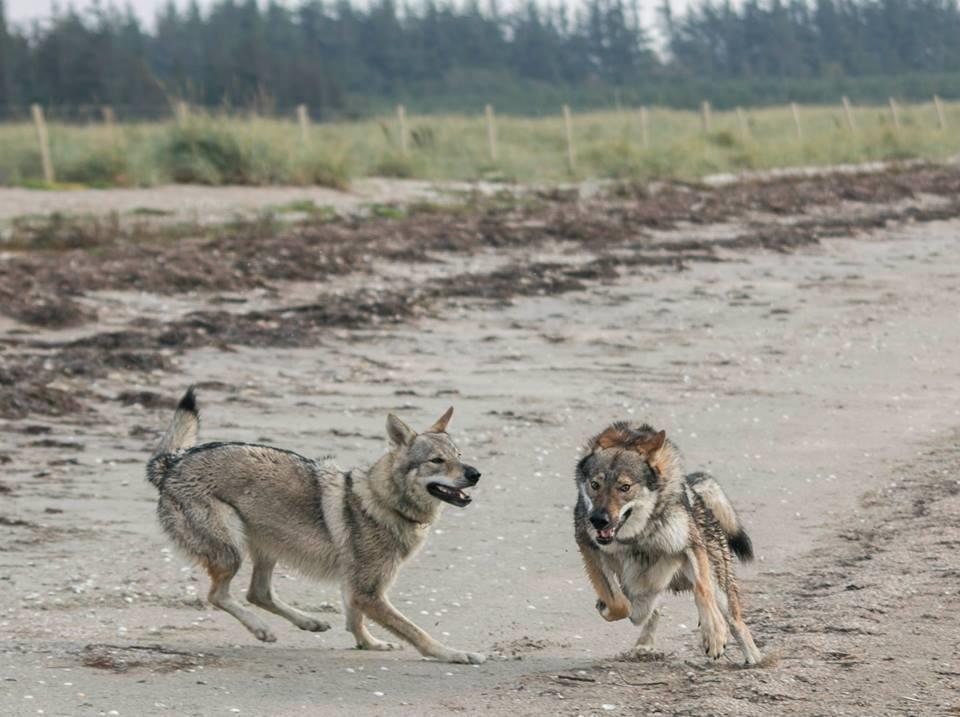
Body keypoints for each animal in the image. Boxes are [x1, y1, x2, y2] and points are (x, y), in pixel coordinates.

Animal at [145, 388, 484, 664]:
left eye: (459, 455)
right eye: (437, 460)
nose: (476, 474)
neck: (384, 502)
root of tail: (172, 463)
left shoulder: (357, 588)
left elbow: (355, 620)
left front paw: (369, 644)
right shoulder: (368, 592)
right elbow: (417, 632)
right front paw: (454, 654)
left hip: (266, 548)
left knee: (257, 593)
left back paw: (308, 622)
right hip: (233, 552)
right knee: (218, 596)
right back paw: (262, 629)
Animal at [572, 422, 760, 664]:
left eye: (625, 487)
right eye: (595, 485)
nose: (597, 519)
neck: (639, 536)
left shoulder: (690, 545)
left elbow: (702, 589)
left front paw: (714, 635)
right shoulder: (590, 548)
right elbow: (619, 603)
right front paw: (607, 606)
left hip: (722, 588)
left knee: (737, 622)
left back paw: (754, 659)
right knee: (651, 609)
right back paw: (644, 644)